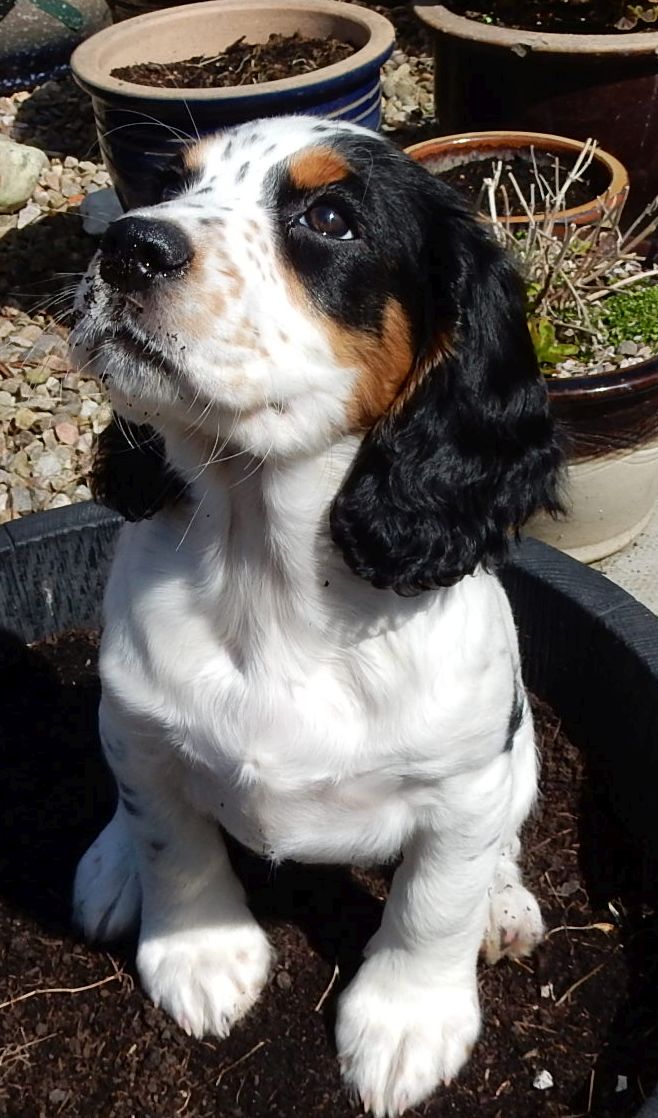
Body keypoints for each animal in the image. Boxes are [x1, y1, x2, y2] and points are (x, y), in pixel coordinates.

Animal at [71, 115, 563, 1117]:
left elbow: (434, 900)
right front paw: (200, 955)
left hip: (518, 744)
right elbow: (169, 836)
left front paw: (407, 1024)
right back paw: (109, 868)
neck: (266, 569)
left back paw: (503, 904)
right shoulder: (136, 722)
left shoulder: (464, 779)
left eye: (330, 218)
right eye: (171, 186)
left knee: (502, 835)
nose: (127, 247)